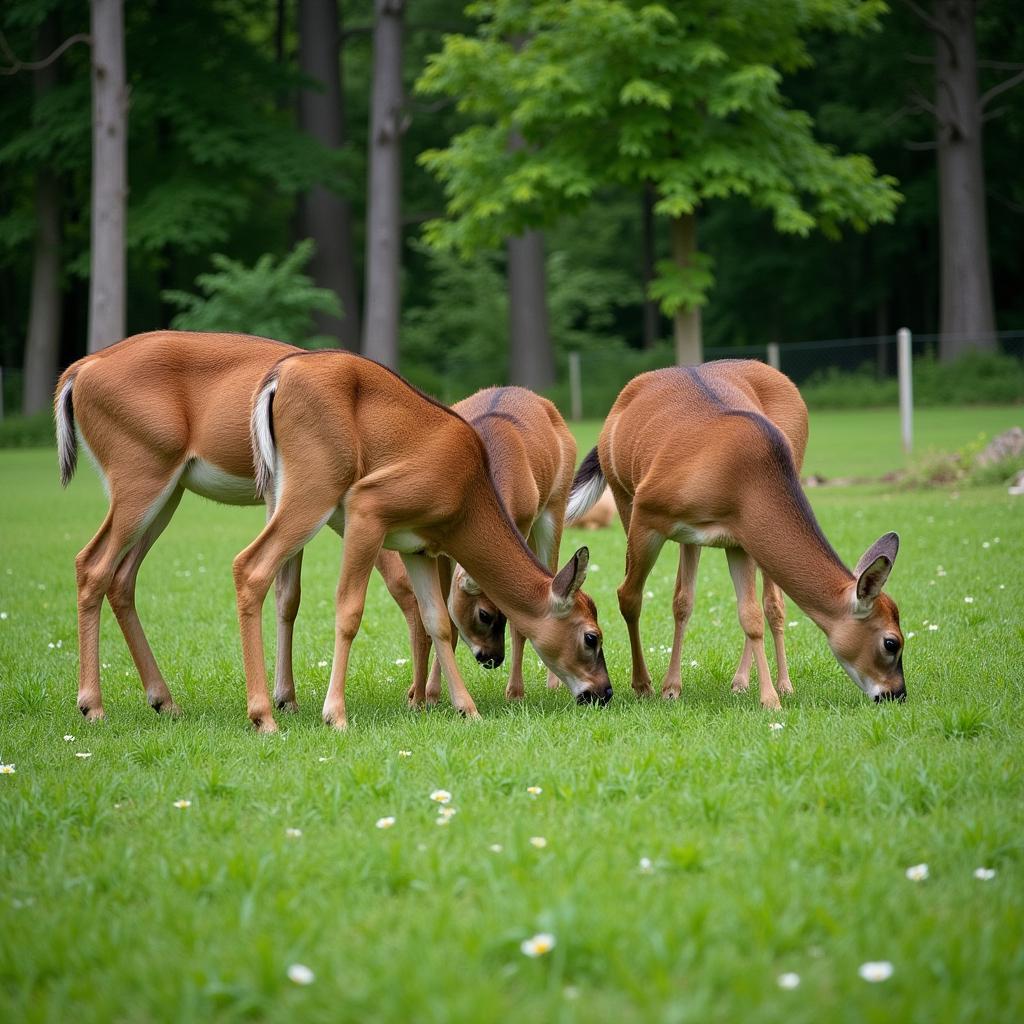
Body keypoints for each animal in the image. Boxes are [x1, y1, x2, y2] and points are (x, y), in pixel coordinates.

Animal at [54, 331, 430, 724]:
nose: (418, 696)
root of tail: (80, 371)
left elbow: (288, 596)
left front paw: (287, 697)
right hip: (140, 470)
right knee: (92, 564)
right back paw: (93, 705)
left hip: (166, 490)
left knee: (122, 577)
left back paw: (163, 700)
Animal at [411, 387, 581, 708]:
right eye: (484, 614)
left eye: (502, 611)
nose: (493, 659)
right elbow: (445, 616)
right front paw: (431, 693)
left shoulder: (522, 521)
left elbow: (520, 623)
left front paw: (514, 691)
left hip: (555, 507)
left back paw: (552, 684)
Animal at [565, 362, 909, 712]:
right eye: (891, 642)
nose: (897, 693)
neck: (740, 480)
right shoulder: (647, 513)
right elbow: (630, 595)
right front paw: (643, 685)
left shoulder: (739, 536)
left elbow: (750, 615)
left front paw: (770, 698)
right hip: (623, 494)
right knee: (651, 596)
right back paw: (666, 684)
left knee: (756, 602)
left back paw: (757, 683)